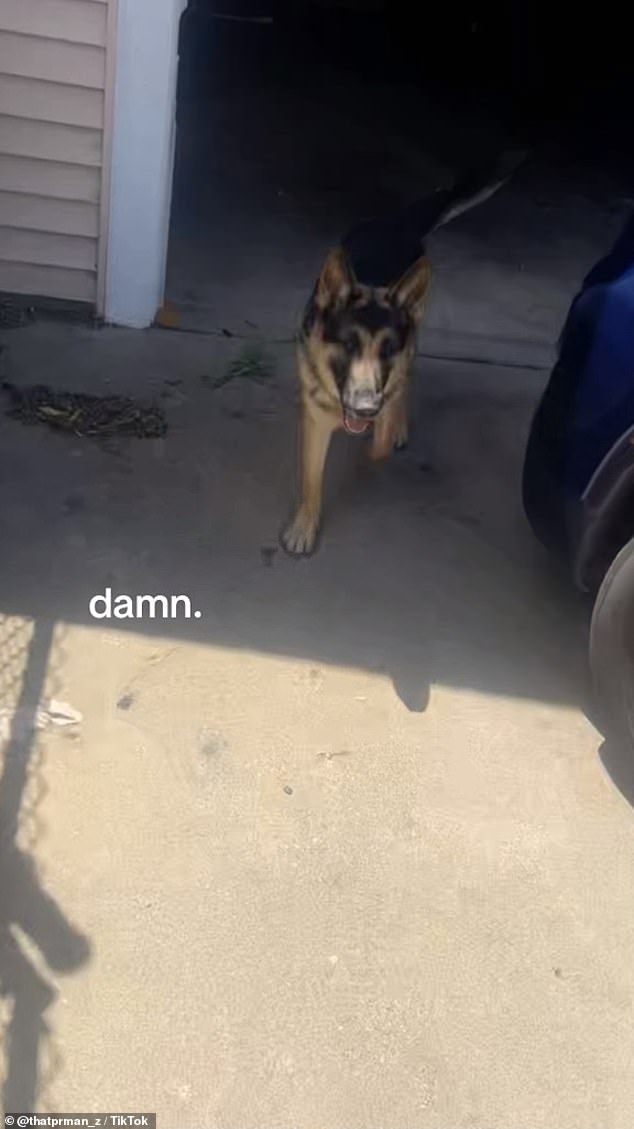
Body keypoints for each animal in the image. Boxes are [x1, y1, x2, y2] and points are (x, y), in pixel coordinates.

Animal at [280, 150, 523, 555]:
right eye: (348, 344)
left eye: (388, 348)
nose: (365, 409)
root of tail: (395, 222)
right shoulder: (315, 417)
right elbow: (311, 479)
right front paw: (304, 526)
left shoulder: (392, 375)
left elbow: (379, 443)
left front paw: (374, 449)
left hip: (414, 343)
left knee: (407, 382)